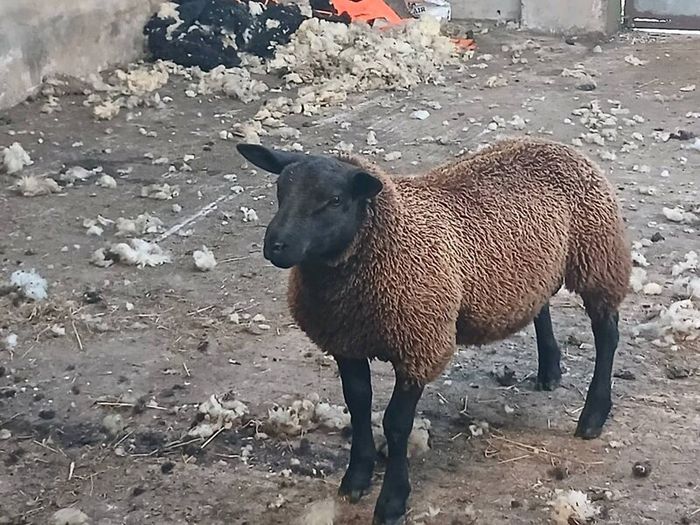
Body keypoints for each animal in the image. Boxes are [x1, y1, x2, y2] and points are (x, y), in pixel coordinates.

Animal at [236, 138, 631, 525]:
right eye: (280, 191)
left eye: (335, 200)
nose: (276, 246)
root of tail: (557, 145)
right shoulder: (347, 342)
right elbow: (358, 404)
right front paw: (356, 478)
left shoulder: (420, 345)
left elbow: (396, 424)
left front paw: (392, 501)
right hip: (532, 270)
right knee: (541, 306)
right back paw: (549, 369)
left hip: (598, 257)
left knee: (607, 334)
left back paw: (593, 415)